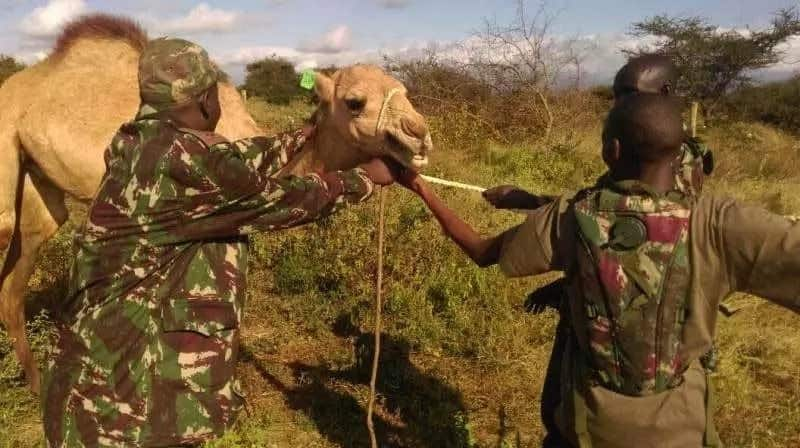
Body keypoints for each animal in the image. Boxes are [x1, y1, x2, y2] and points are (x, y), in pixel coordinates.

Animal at [0, 13, 434, 392]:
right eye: (355, 102)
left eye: (406, 92)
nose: (418, 134)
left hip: (38, 189)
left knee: (14, 284)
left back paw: (37, 385)